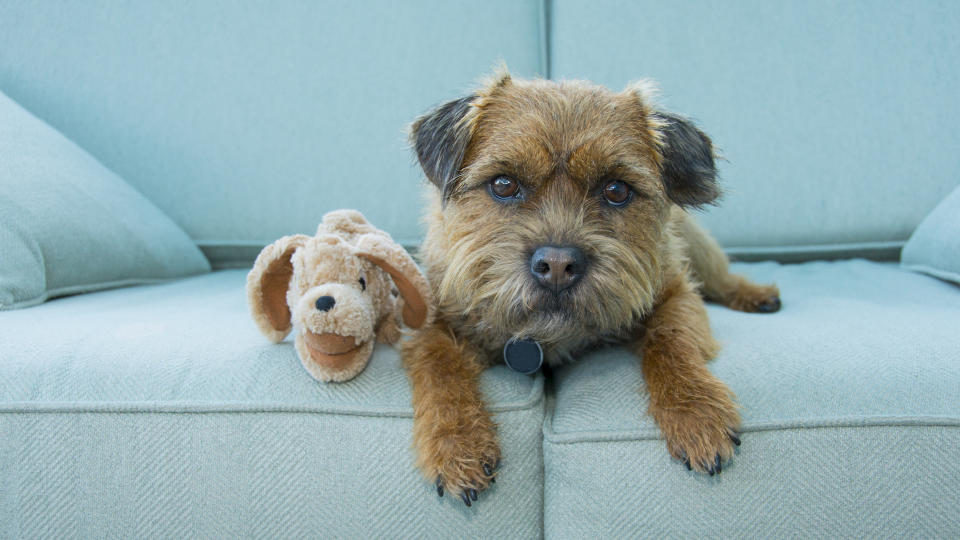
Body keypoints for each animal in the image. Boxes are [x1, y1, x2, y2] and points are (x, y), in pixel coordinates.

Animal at [398, 70, 780, 506]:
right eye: (503, 184)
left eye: (616, 190)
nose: (558, 266)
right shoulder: (428, 325)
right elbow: (439, 367)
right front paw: (457, 443)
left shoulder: (676, 292)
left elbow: (671, 339)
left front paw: (696, 411)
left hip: (699, 247)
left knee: (722, 278)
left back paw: (755, 295)